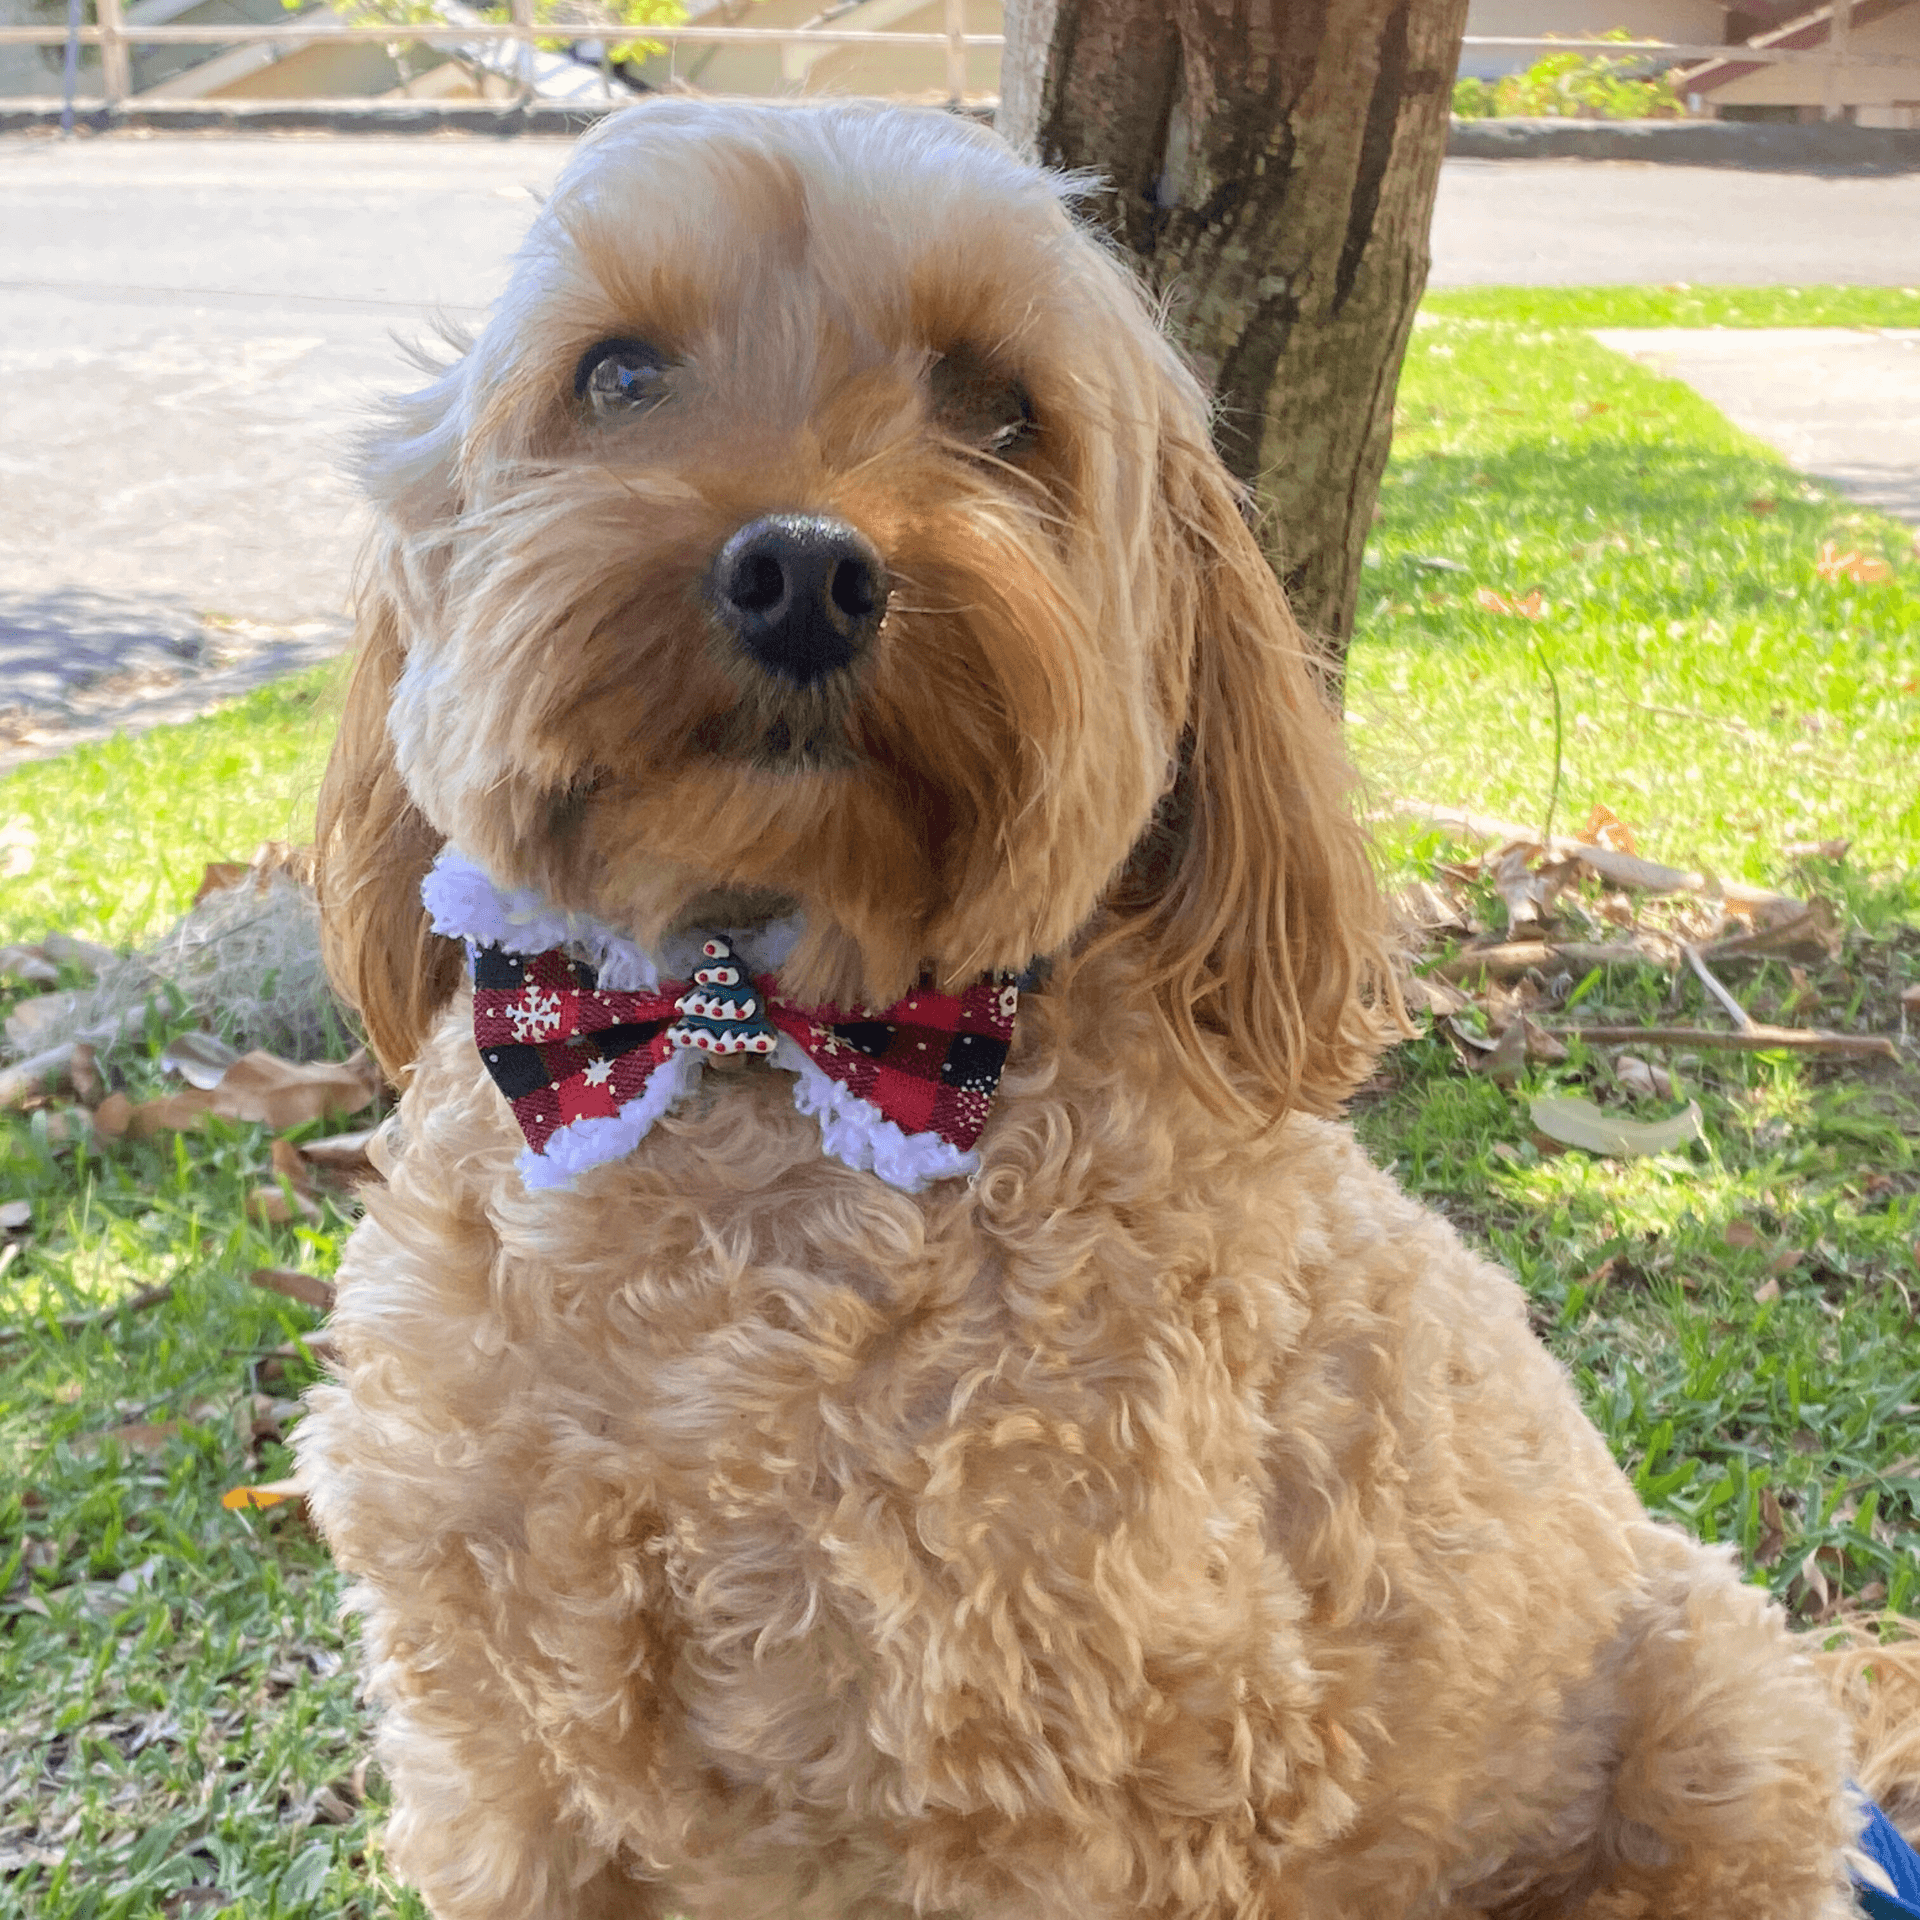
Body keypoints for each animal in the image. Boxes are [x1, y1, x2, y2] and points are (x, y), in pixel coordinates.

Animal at [291, 97, 1912, 1912]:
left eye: (1000, 408)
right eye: (618, 373)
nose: (802, 566)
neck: (755, 1051)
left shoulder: (1075, 1782)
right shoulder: (502, 1760)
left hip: (1716, 1720)